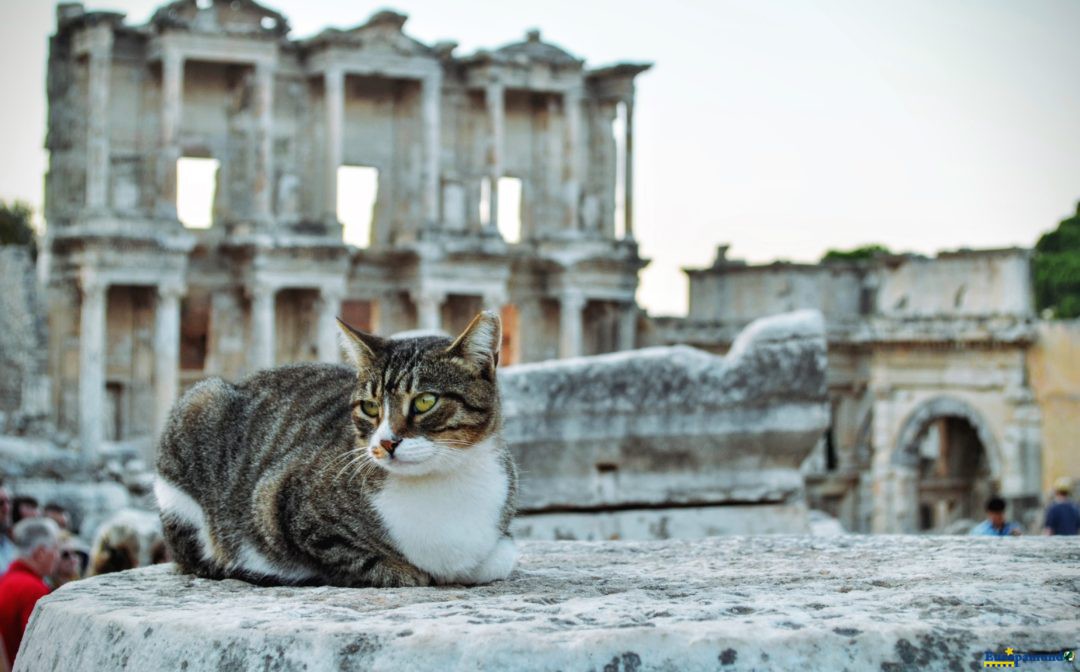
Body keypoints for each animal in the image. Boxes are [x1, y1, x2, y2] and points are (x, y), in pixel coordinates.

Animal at [155, 313, 518, 587]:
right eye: (370, 407)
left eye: (425, 401)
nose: (386, 442)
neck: (442, 482)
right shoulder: (276, 500)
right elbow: (357, 558)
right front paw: (405, 571)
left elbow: (500, 559)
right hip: (200, 403)